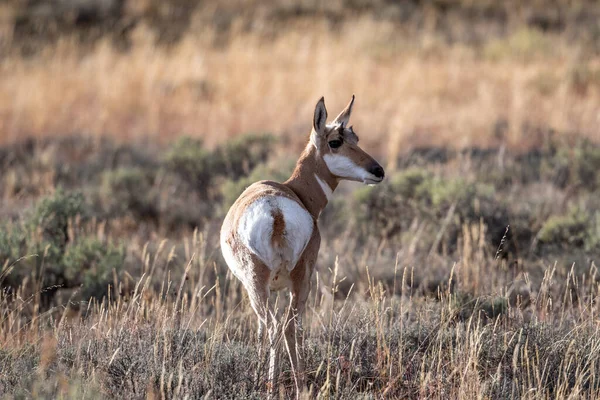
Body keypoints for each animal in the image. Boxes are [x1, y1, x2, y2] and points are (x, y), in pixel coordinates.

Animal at [220, 95, 384, 392]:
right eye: (336, 141)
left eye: (355, 137)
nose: (378, 171)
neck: (293, 190)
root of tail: (276, 210)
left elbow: (261, 328)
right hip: (290, 282)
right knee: (286, 326)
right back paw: (294, 384)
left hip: (267, 284)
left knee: (278, 326)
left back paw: (277, 385)